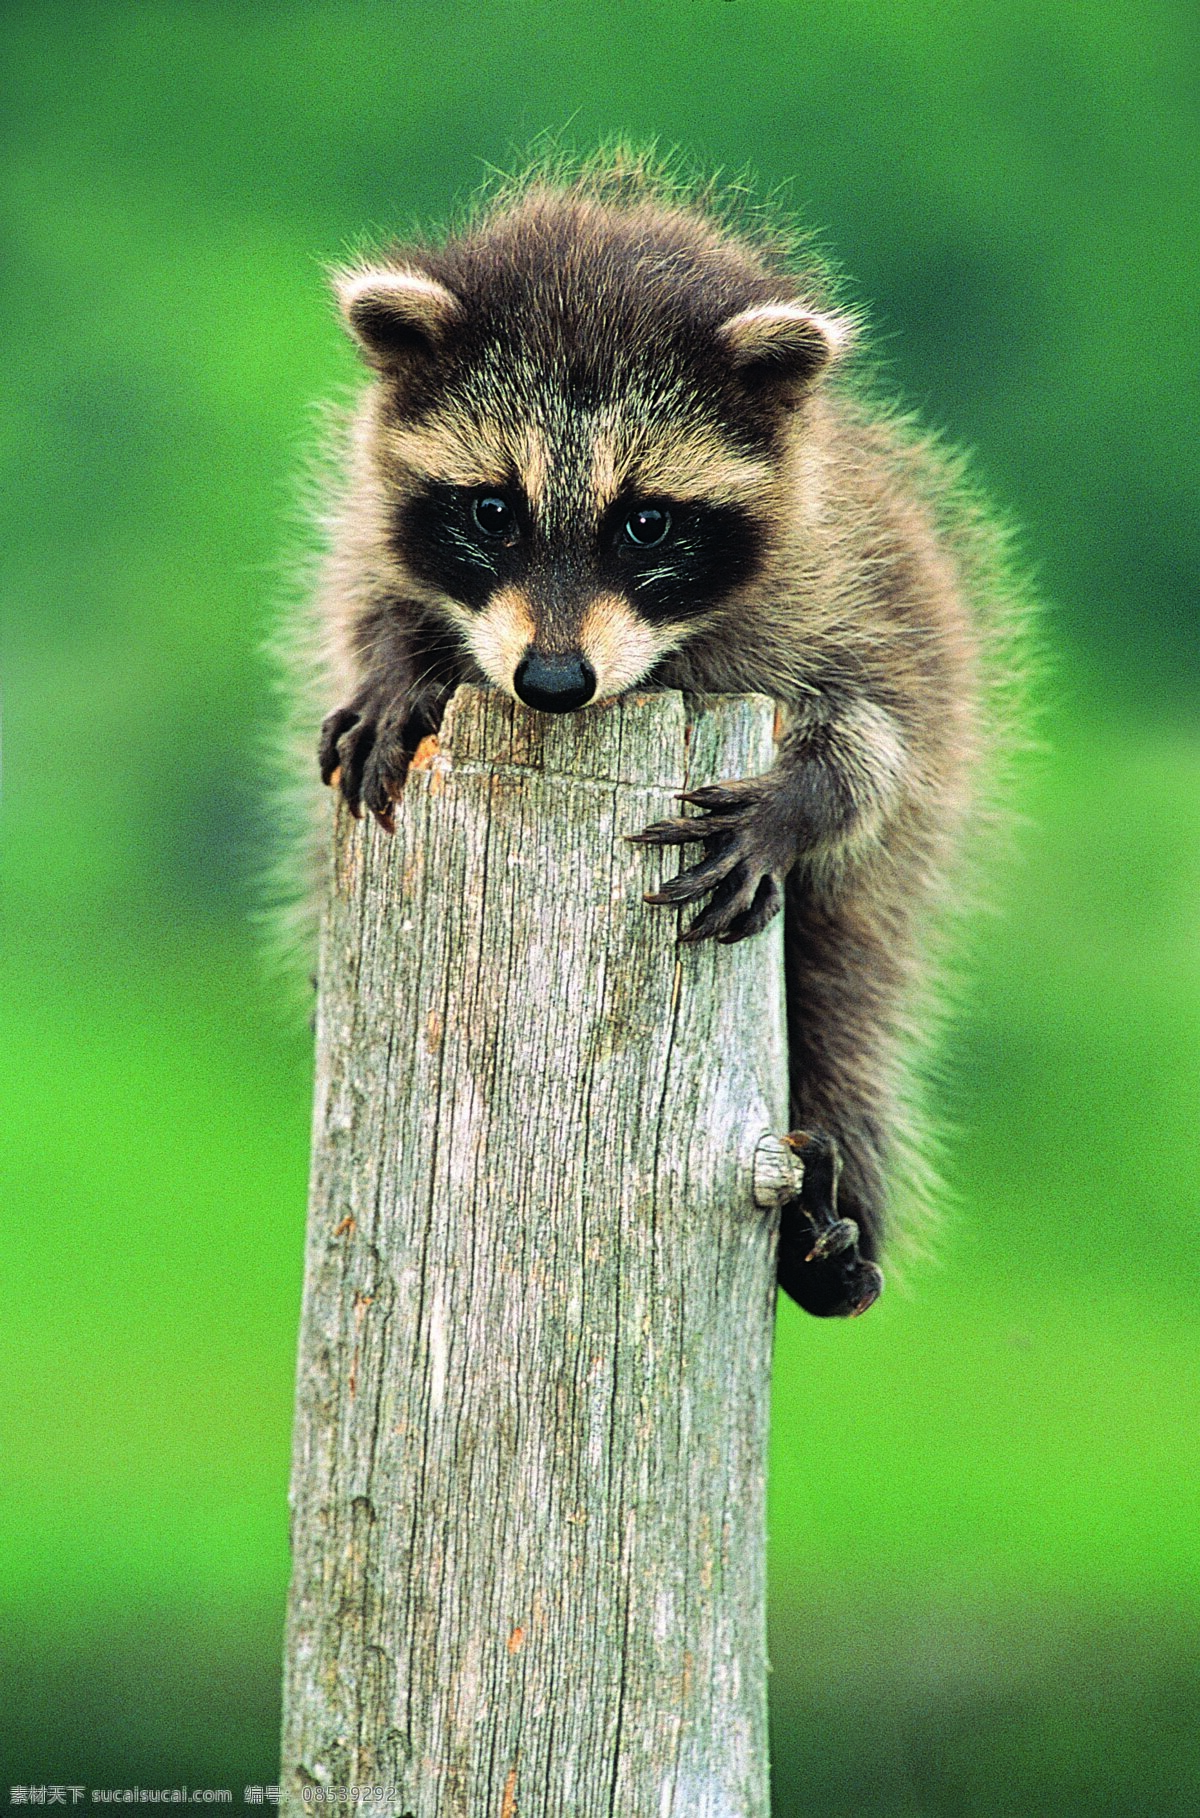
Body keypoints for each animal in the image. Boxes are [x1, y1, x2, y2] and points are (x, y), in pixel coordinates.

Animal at [305, 156, 1018, 1323]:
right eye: (492, 510)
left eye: (647, 522)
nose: (552, 684)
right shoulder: (364, 531)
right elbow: (372, 601)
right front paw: (399, 660)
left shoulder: (859, 591)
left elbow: (884, 742)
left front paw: (804, 797)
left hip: (876, 903)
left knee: (850, 1003)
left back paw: (833, 1224)